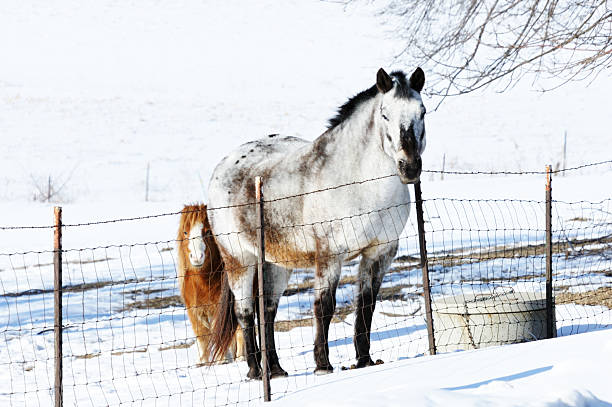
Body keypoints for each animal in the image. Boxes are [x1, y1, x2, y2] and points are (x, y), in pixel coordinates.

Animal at [177, 206, 244, 364]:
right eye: (185, 232)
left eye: (208, 231)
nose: (197, 257)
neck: (204, 283)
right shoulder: (195, 311)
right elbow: (202, 335)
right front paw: (203, 362)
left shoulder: (220, 307)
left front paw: (222, 360)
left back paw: (241, 357)